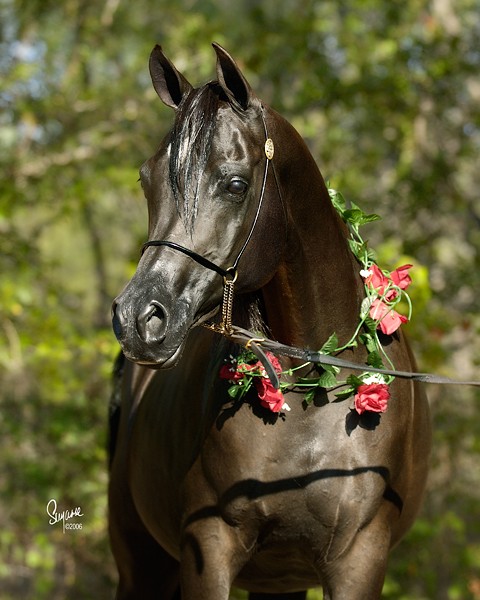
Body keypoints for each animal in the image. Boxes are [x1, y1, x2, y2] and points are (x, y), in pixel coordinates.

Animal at [109, 44, 432, 596]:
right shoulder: (208, 549)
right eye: (147, 180)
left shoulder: (359, 556)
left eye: (236, 184)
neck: (312, 393)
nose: (138, 318)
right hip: (142, 568)